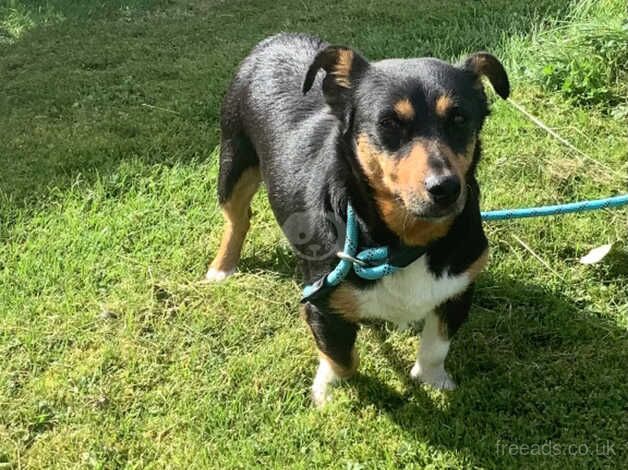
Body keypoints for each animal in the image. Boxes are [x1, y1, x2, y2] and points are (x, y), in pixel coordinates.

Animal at [206, 35, 510, 406]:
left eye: (459, 119)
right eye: (389, 123)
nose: (446, 188)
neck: (404, 240)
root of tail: (277, 38)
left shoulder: (458, 289)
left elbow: (436, 347)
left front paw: (432, 379)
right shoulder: (321, 302)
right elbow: (342, 359)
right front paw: (328, 389)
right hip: (233, 161)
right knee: (238, 219)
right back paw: (223, 266)